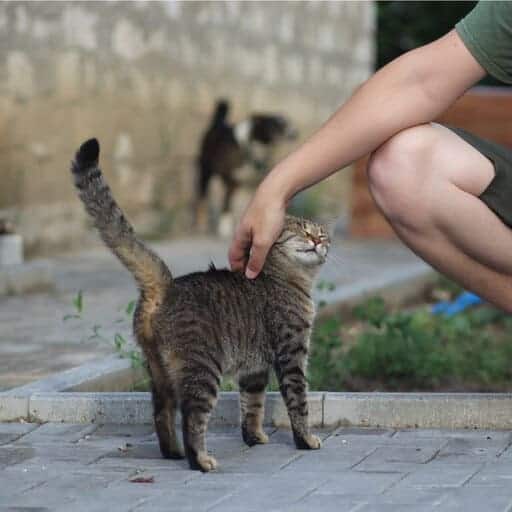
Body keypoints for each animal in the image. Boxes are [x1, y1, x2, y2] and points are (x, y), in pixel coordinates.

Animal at [70, 137, 330, 472]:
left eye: (323, 235)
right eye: (301, 230)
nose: (318, 241)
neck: (288, 278)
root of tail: (166, 285)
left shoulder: (255, 370)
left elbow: (252, 405)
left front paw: (254, 437)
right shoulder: (292, 354)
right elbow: (298, 402)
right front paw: (305, 439)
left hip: (160, 372)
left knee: (162, 414)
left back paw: (173, 452)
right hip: (203, 370)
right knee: (191, 419)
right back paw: (200, 460)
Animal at [197, 99, 300, 235]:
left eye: (288, 122)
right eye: (275, 125)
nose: (295, 133)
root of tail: (219, 123)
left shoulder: (254, 186)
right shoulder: (231, 181)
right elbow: (226, 205)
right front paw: (225, 229)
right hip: (206, 171)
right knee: (202, 198)